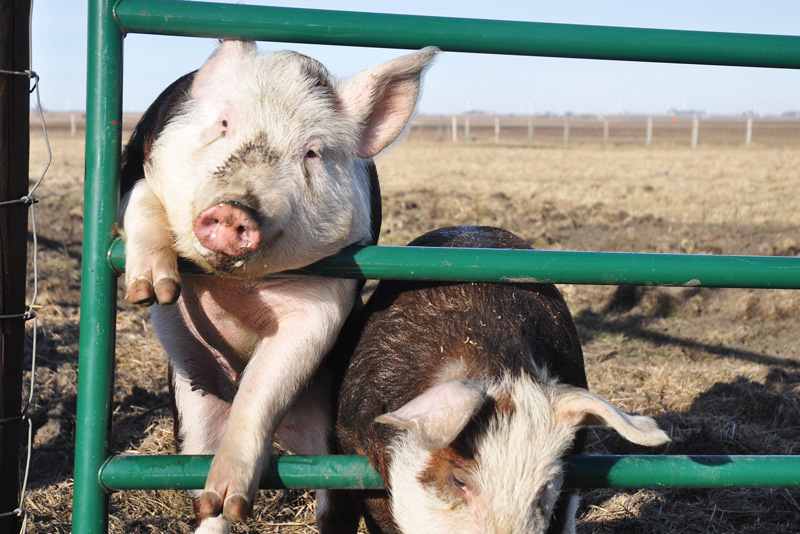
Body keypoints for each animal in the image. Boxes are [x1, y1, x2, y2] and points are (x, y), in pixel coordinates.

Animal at [119, 40, 438, 534]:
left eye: (312, 152)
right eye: (224, 124)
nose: (234, 209)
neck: (238, 284)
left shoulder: (324, 298)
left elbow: (263, 388)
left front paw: (236, 500)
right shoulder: (141, 165)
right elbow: (141, 200)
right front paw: (152, 291)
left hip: (330, 435)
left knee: (334, 501)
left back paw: (225, 500)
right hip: (191, 409)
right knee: (200, 497)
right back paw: (213, 503)